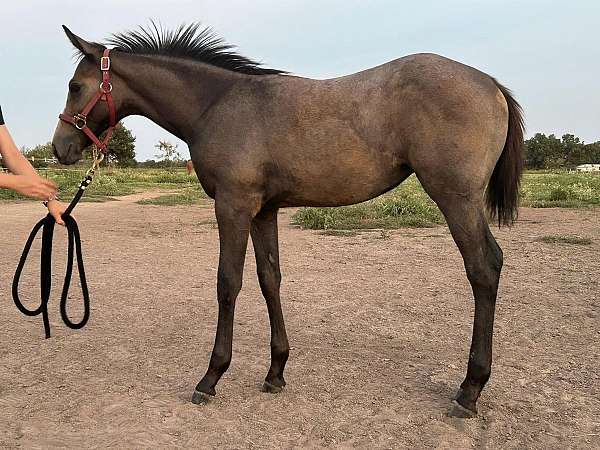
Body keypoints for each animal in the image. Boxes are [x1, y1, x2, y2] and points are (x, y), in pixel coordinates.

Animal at [50, 23, 520, 418]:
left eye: (75, 86)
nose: (60, 147)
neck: (216, 105)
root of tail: (491, 84)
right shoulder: (264, 211)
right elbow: (268, 278)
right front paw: (275, 371)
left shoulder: (234, 206)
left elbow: (228, 283)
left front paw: (211, 376)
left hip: (456, 199)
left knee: (483, 268)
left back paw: (470, 390)